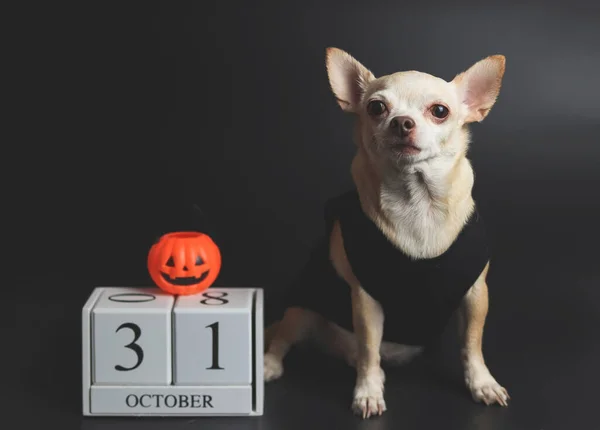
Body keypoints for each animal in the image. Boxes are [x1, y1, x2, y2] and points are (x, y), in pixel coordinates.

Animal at [264, 48, 508, 418]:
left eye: (440, 111)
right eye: (376, 107)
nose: (401, 122)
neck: (418, 200)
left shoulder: (475, 294)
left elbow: (472, 344)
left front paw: (482, 383)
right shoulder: (366, 301)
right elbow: (369, 348)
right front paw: (367, 392)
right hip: (301, 308)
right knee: (285, 337)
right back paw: (269, 364)